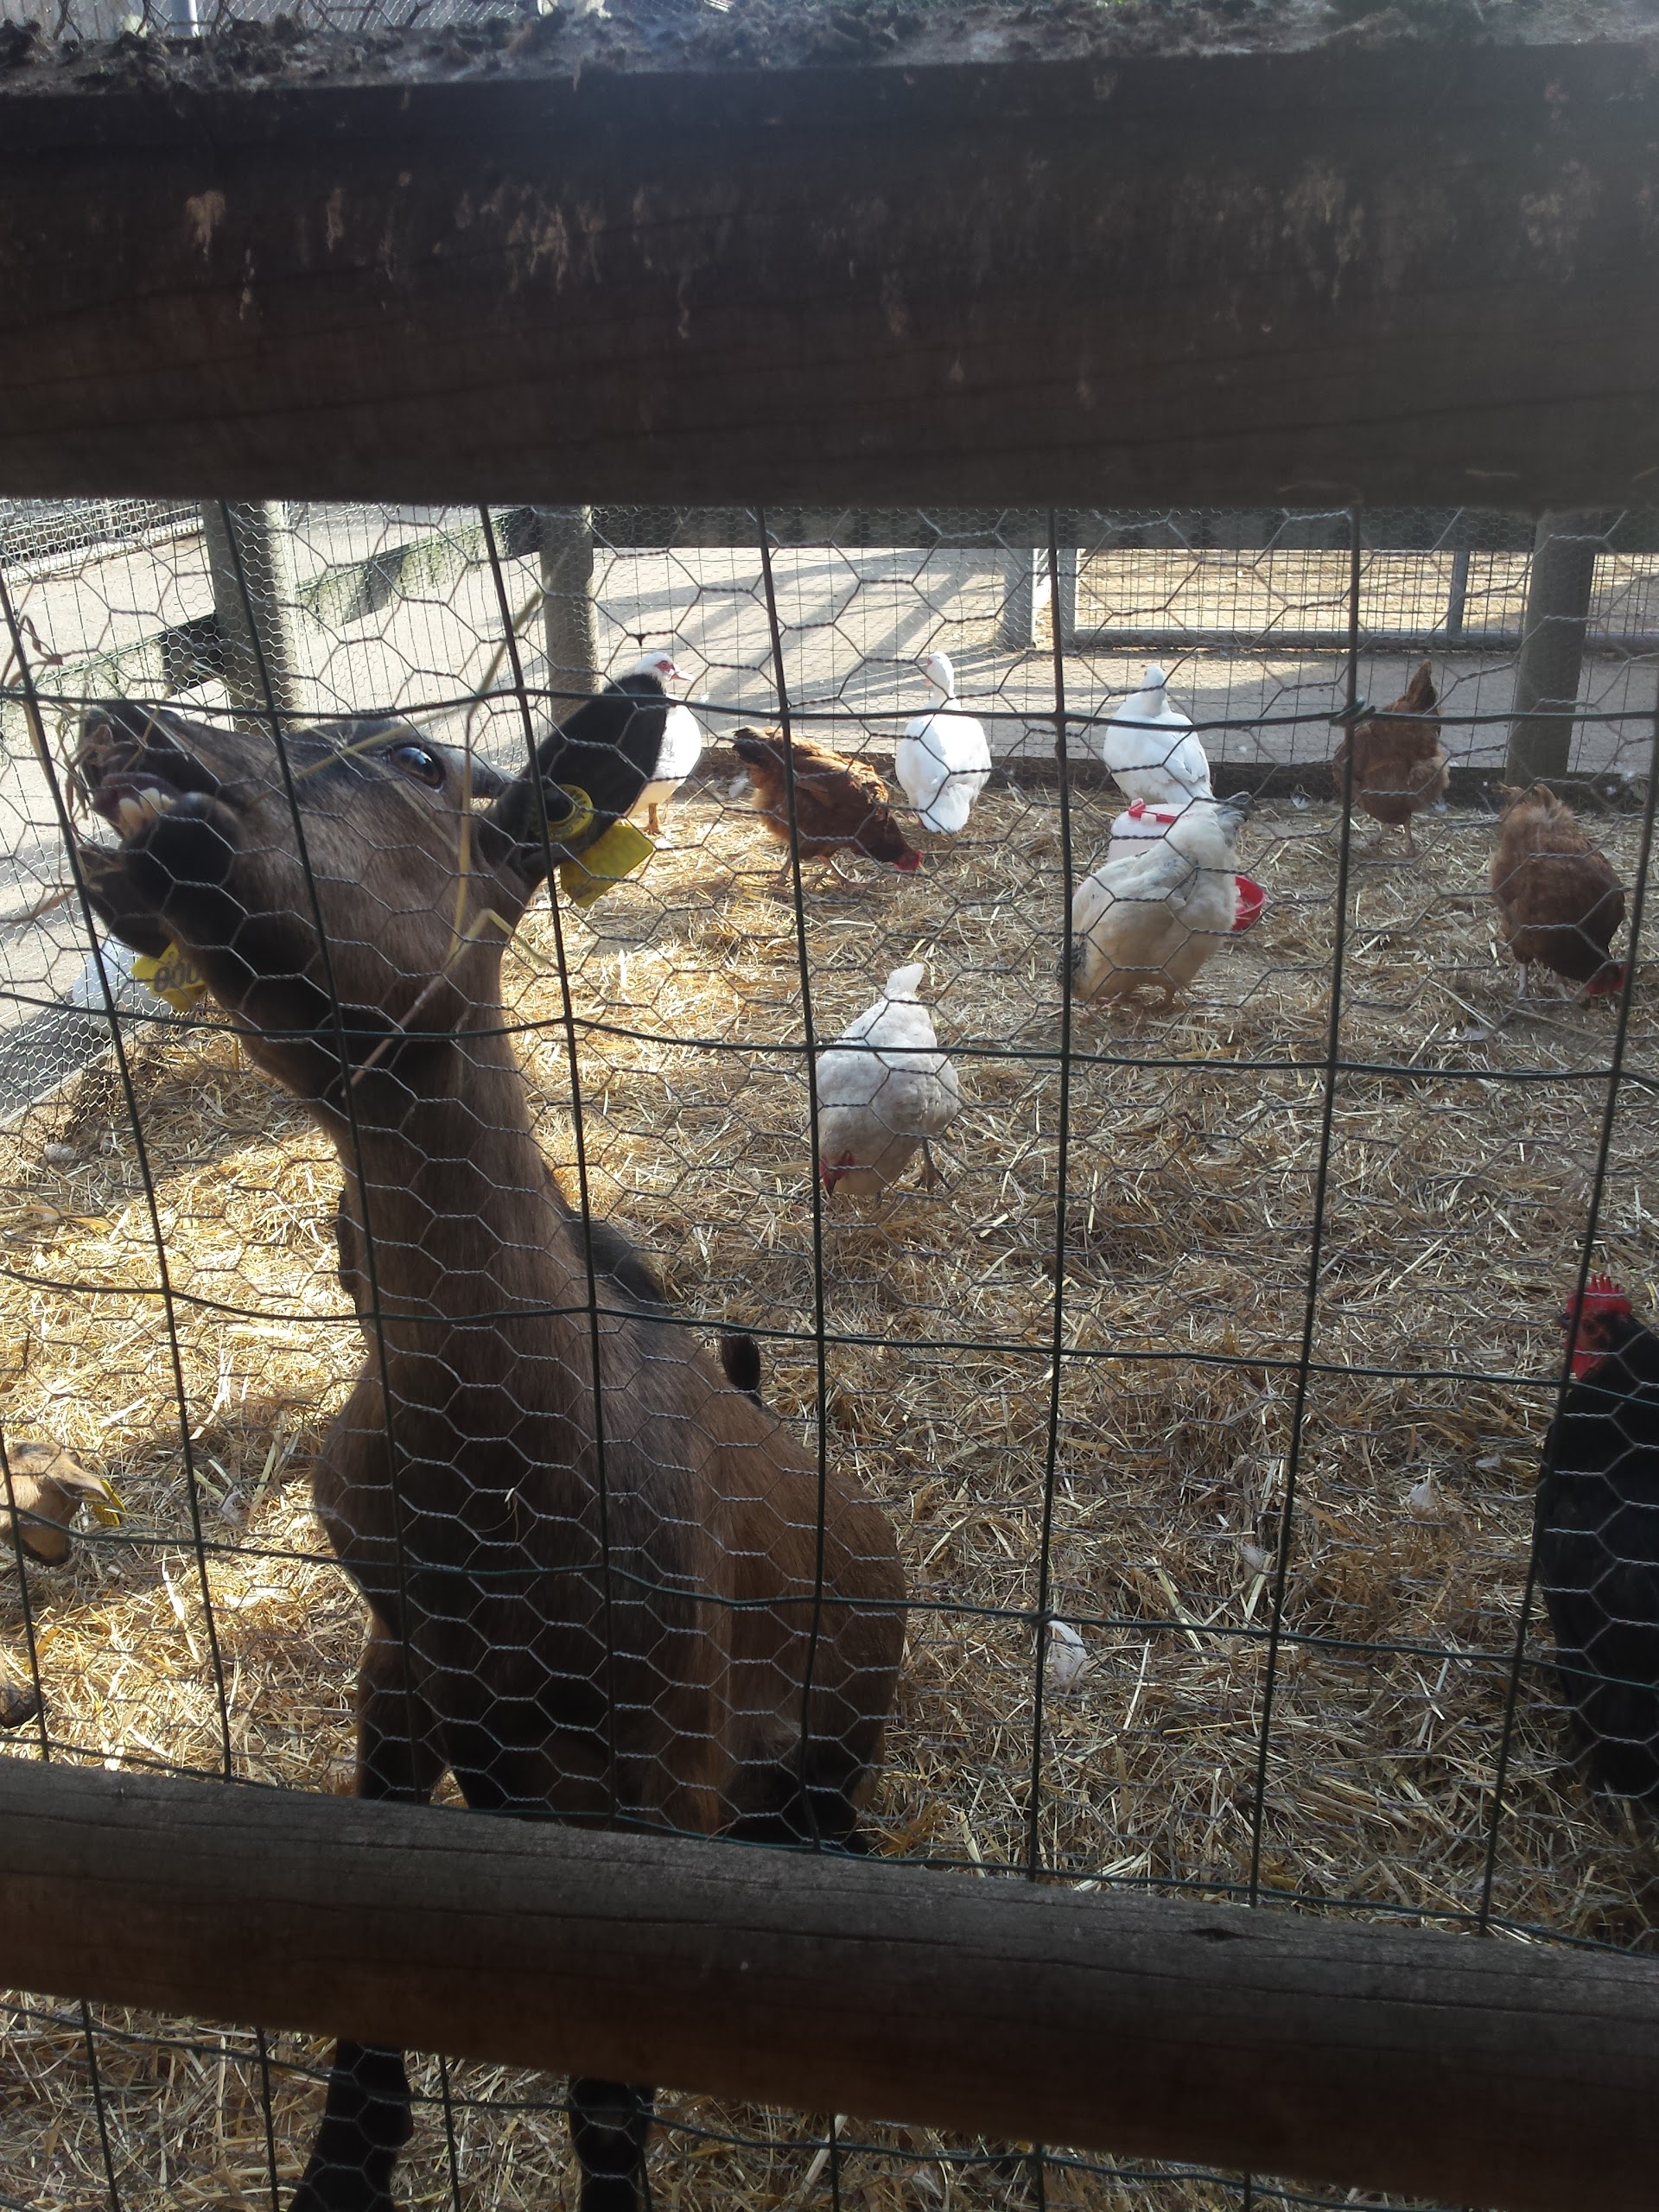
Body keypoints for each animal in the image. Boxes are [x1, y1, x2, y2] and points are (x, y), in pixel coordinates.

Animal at [69, 699, 907, 2212]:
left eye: (416, 759)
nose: (130, 729)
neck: (497, 1446)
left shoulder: (665, 1750)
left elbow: (610, 2100)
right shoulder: (401, 1672)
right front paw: (342, 2170)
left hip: (825, 1741)